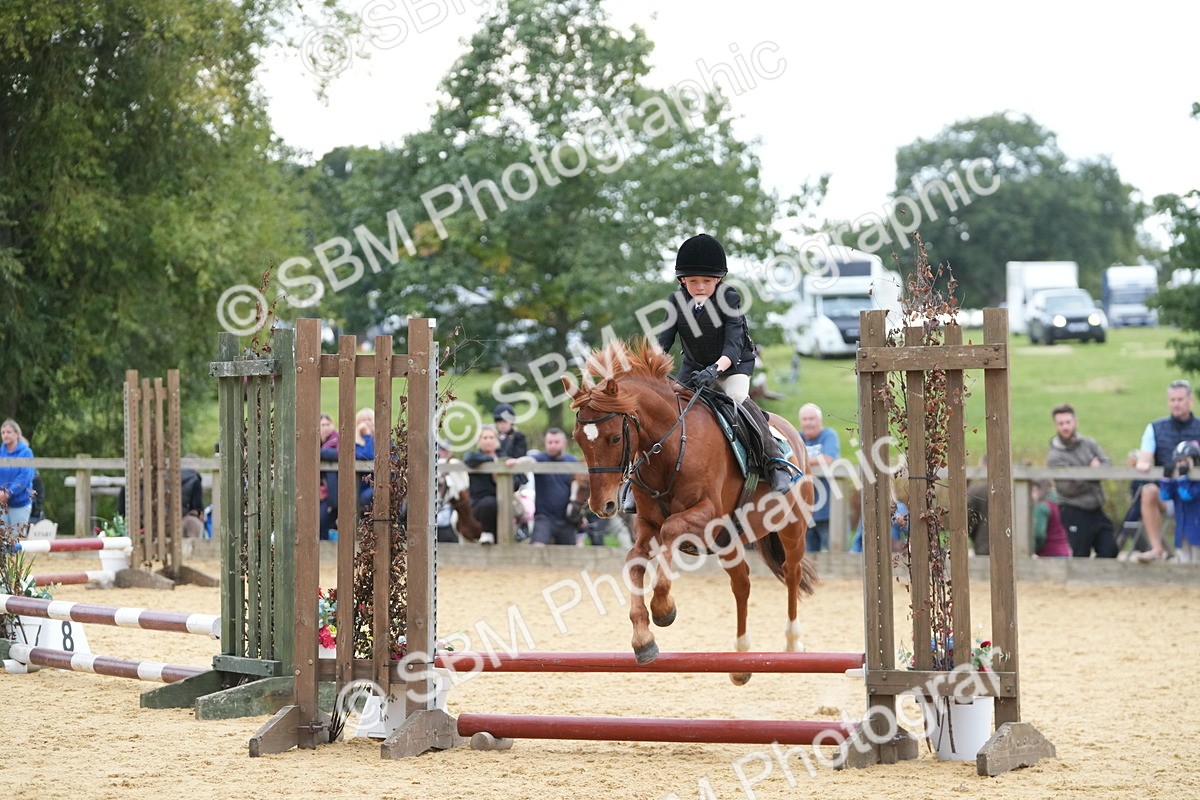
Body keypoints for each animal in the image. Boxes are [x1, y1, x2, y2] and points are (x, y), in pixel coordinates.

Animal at [562, 339, 817, 685]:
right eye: (578, 440)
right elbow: (635, 560)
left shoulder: (707, 516)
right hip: (729, 542)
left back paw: (792, 643)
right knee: (742, 583)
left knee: (791, 571)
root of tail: (793, 433)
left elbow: (671, 530)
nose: (603, 506)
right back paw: (741, 660)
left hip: (790, 527)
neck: (668, 450)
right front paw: (643, 639)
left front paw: (663, 609)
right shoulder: (646, 525)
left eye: (615, 437)